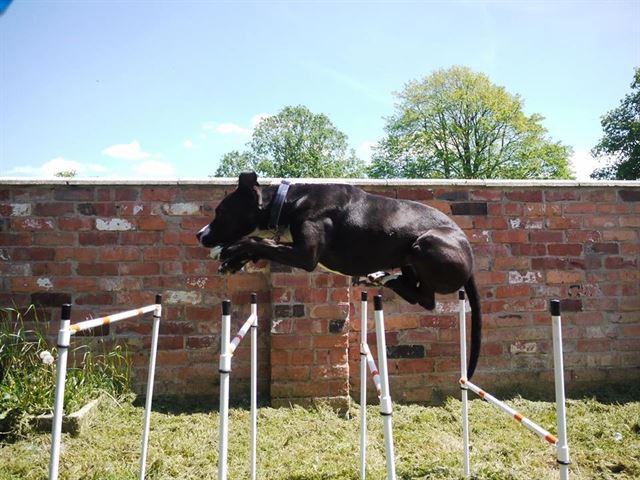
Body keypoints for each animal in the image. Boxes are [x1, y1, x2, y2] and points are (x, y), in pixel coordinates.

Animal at [198, 172, 482, 378]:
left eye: (220, 211)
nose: (200, 235)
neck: (288, 202)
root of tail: (470, 257)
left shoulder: (305, 255)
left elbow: (255, 241)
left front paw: (228, 249)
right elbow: (260, 246)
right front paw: (231, 261)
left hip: (423, 244)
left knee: (425, 299)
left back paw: (384, 278)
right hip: (409, 258)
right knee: (416, 290)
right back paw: (380, 276)